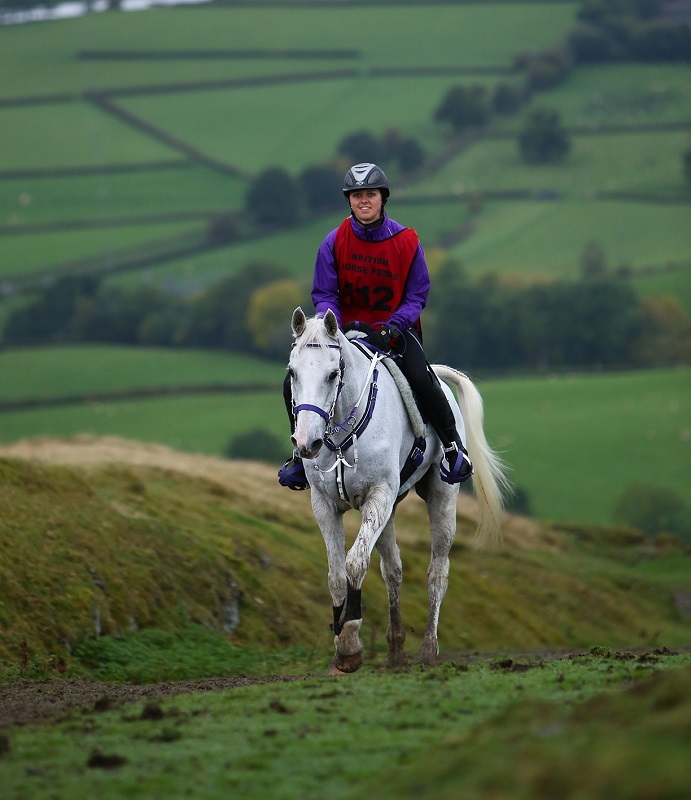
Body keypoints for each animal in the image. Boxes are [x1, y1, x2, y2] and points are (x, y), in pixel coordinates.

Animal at [286, 310, 508, 672]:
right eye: (292, 372)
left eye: (333, 374)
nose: (307, 443)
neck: (343, 433)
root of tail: (439, 377)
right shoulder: (325, 506)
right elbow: (336, 575)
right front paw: (340, 647)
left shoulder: (378, 496)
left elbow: (355, 563)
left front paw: (350, 641)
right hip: (386, 512)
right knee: (393, 571)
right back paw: (395, 649)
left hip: (440, 500)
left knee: (437, 573)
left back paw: (428, 649)